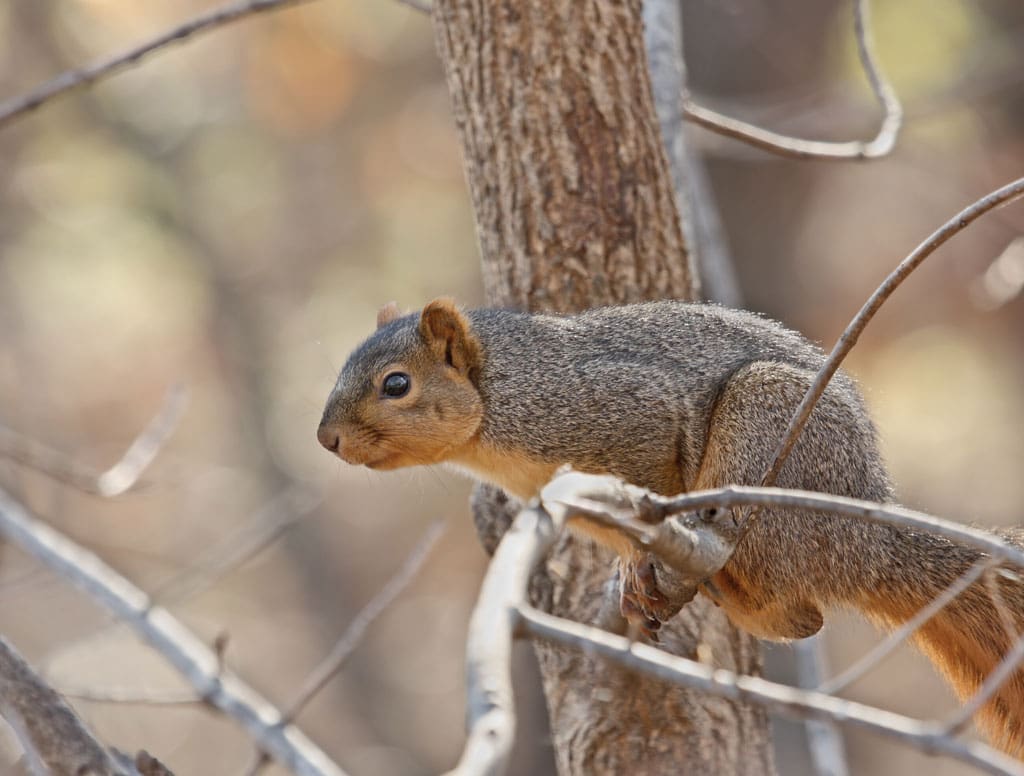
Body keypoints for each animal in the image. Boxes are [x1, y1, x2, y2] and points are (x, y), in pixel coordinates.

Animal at [318, 297, 1024, 756]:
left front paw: (635, 562)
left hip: (768, 433)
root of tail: (872, 539)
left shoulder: (630, 417)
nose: (326, 439)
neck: (499, 403)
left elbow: (654, 479)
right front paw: (627, 578)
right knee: (802, 618)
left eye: (396, 384)